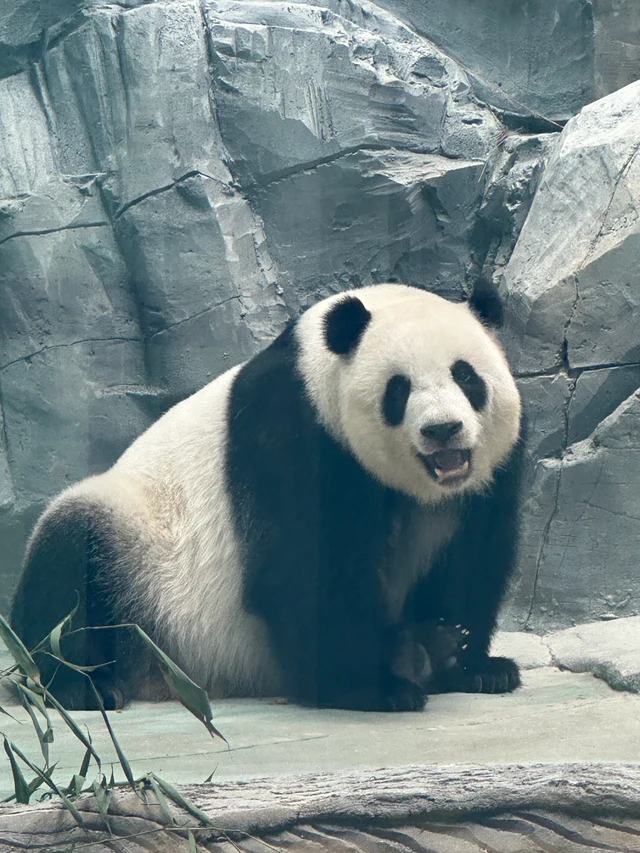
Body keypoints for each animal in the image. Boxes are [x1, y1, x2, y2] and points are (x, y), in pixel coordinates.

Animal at [10, 284, 524, 712]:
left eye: (465, 377)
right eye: (399, 390)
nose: (443, 430)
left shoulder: (487, 477)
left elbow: (474, 557)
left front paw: (473, 665)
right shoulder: (291, 430)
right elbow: (302, 567)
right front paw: (376, 685)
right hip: (142, 552)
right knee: (69, 568)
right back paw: (81, 686)